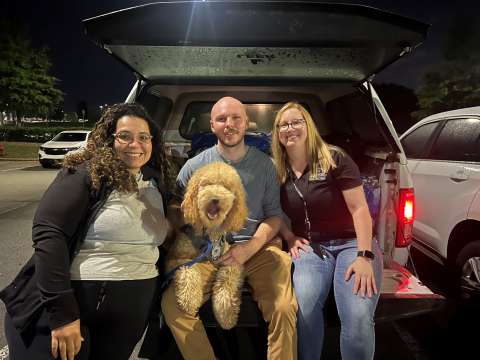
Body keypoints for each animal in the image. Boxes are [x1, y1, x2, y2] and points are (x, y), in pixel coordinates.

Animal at [166, 162, 249, 330]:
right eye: (206, 184)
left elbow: (227, 280)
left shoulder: (232, 261)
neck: (209, 235)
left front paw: (226, 314)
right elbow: (188, 272)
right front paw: (189, 301)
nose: (215, 199)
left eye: (226, 187)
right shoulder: (176, 259)